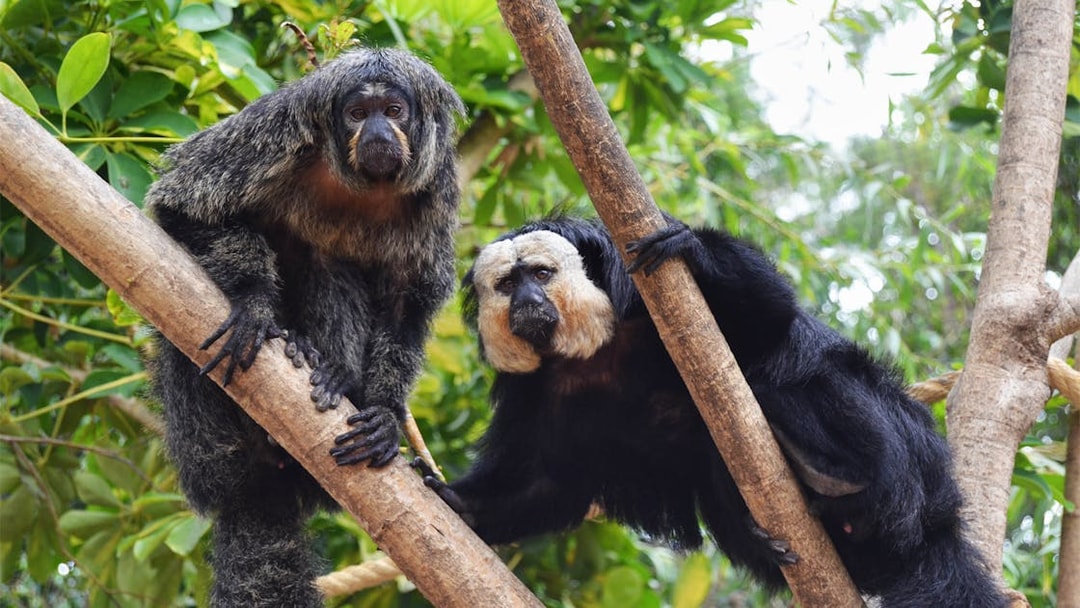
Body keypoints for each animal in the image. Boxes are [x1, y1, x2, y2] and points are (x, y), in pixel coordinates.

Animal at [143, 48, 464, 607]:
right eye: (358, 114)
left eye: (394, 111)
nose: (377, 130)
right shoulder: (275, 131)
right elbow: (182, 208)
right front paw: (254, 301)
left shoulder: (436, 186)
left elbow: (408, 307)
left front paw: (384, 411)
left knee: (330, 263)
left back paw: (330, 369)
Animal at [419, 216, 1008, 608]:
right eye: (506, 284)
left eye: (541, 274)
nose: (525, 303)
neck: (596, 351)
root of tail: (937, 526)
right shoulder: (532, 391)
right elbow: (547, 480)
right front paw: (459, 504)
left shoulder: (647, 300)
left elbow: (769, 322)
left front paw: (693, 247)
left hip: (914, 461)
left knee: (789, 379)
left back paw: (839, 474)